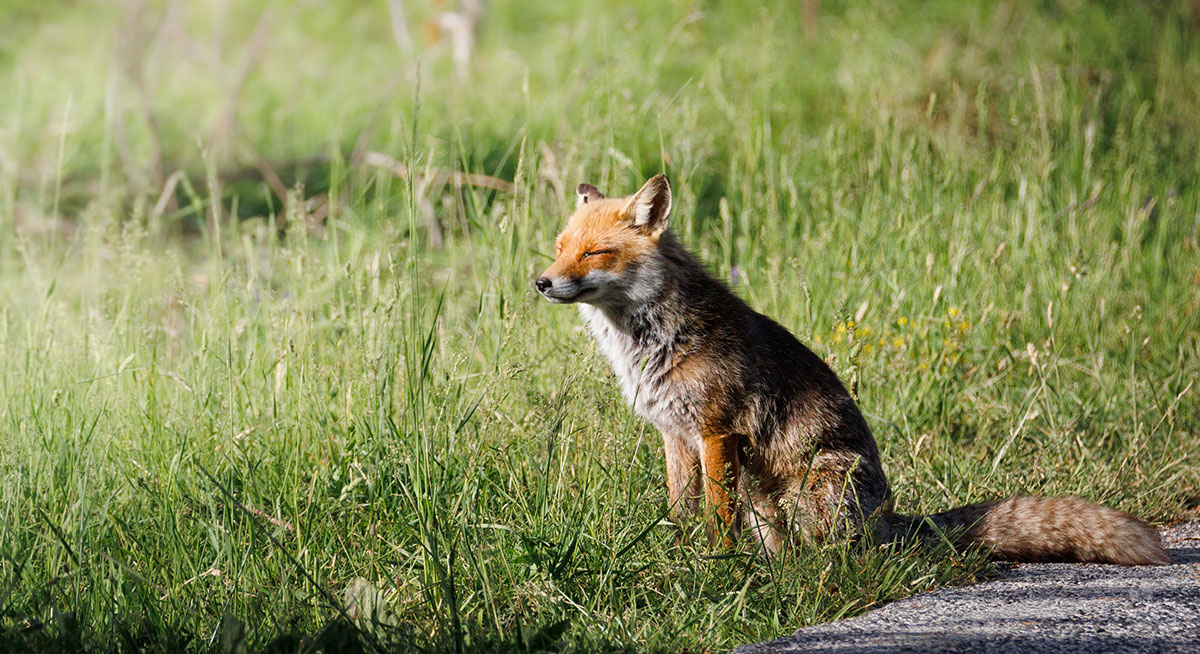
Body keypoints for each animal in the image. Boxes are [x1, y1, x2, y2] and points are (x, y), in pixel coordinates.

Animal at [535, 173, 1169, 566]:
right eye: (560, 246)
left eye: (594, 253)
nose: (541, 282)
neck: (650, 341)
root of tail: (893, 519)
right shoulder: (675, 436)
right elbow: (680, 512)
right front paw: (682, 558)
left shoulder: (717, 432)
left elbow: (717, 518)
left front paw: (717, 565)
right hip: (768, 502)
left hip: (809, 489)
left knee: (840, 556)